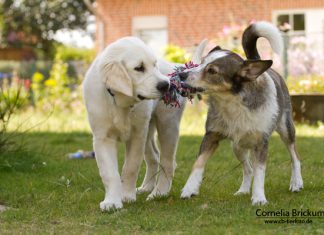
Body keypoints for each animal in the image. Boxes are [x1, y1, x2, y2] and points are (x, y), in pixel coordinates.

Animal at [180, 22, 304, 206]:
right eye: (200, 63)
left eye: (212, 71)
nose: (182, 74)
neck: (232, 102)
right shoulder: (211, 135)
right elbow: (198, 163)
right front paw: (189, 188)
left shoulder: (261, 143)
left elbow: (260, 172)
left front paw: (259, 197)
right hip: (237, 145)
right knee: (248, 168)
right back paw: (244, 190)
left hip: (286, 128)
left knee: (294, 155)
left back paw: (296, 182)